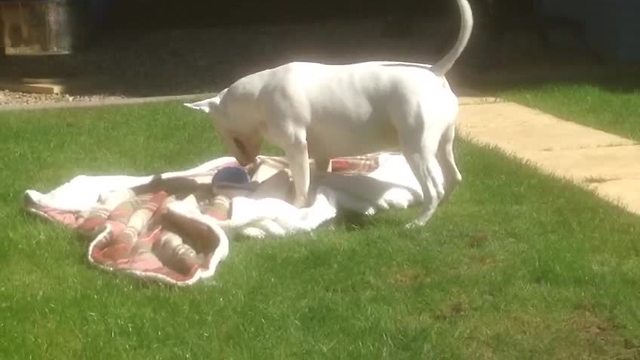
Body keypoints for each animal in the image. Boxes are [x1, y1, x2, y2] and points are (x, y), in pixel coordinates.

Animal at [185, 0, 470, 226]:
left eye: (217, 128)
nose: (242, 164)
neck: (257, 96)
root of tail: (433, 72)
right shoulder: (320, 153)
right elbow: (319, 176)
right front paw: (317, 197)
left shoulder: (296, 147)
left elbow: (301, 181)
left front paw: (297, 206)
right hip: (443, 142)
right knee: (453, 176)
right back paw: (442, 206)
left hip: (416, 150)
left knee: (433, 188)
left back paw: (418, 223)